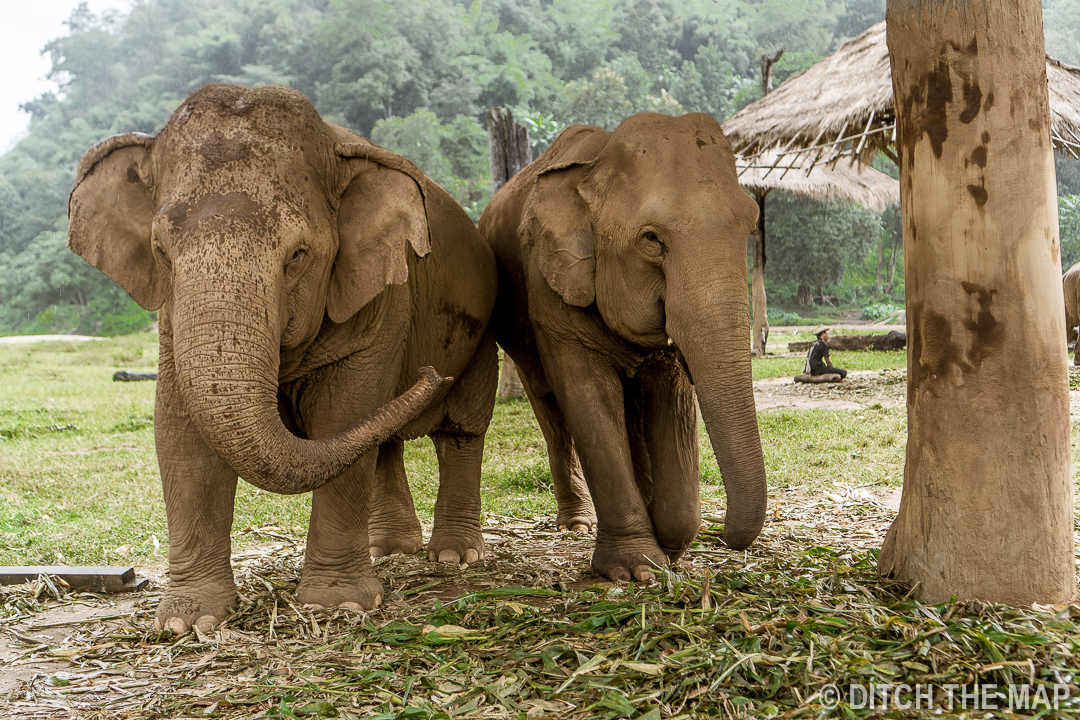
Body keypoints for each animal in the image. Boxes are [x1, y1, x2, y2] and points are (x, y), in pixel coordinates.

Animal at [69, 84, 498, 634]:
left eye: (297, 256)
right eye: (161, 251)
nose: (429, 373)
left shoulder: (382, 294)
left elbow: (345, 411)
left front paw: (338, 607)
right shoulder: (171, 317)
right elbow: (179, 432)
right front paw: (187, 623)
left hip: (483, 326)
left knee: (459, 429)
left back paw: (453, 556)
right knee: (381, 438)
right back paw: (387, 551)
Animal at [481, 113, 768, 587]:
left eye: (750, 226)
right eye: (651, 239)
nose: (727, 537)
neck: (598, 162)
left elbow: (672, 396)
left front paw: (669, 547)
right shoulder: (549, 286)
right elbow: (589, 396)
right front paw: (635, 569)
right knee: (548, 404)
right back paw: (577, 524)